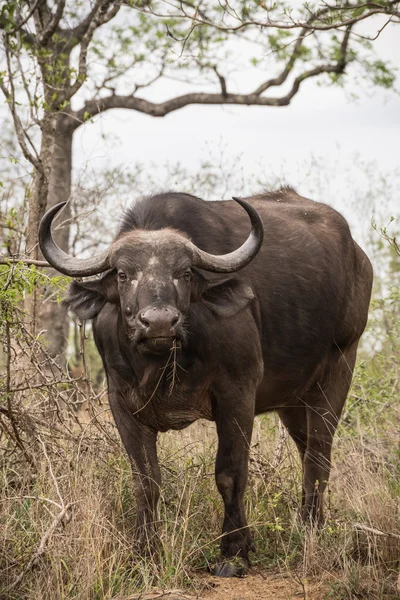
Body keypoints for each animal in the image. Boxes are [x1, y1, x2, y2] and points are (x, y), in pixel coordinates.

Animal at [39, 190, 372, 580]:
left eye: (184, 273)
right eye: (123, 274)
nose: (159, 322)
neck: (164, 361)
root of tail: (359, 258)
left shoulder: (237, 394)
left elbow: (230, 473)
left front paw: (234, 553)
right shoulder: (121, 402)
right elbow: (145, 480)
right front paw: (145, 553)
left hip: (338, 368)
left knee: (319, 455)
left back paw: (311, 529)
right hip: (293, 401)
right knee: (307, 452)